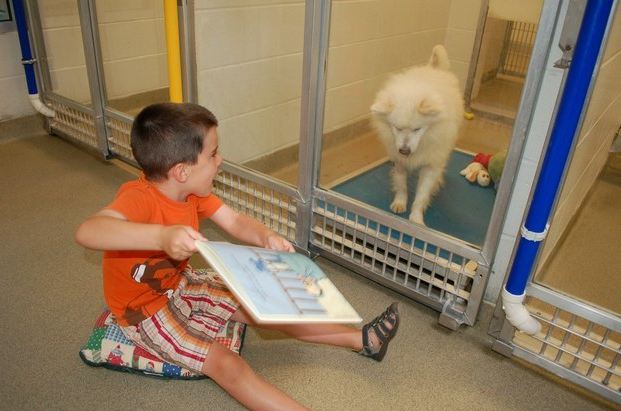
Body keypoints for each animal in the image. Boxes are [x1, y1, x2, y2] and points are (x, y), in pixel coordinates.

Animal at [368, 45, 460, 227]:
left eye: (417, 129)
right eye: (397, 128)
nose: (404, 150)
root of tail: (434, 67)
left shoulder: (430, 165)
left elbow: (422, 195)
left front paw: (416, 219)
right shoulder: (399, 161)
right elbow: (401, 185)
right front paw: (400, 203)